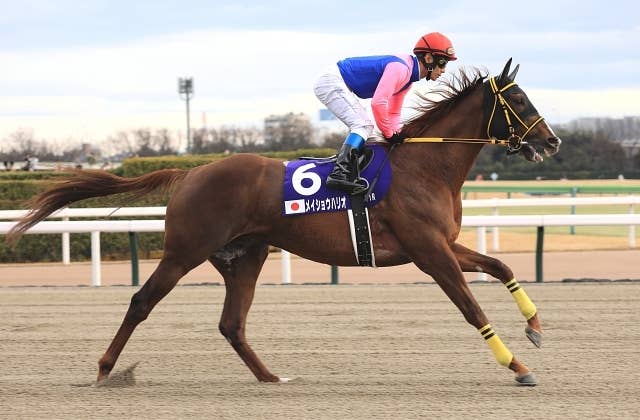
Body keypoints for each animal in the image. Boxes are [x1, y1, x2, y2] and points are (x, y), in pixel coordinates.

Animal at [7, 59, 561, 386]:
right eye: (518, 100)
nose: (552, 141)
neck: (425, 166)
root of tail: (191, 171)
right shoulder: (428, 252)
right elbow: (471, 307)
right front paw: (518, 366)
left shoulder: (442, 245)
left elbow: (500, 266)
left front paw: (535, 327)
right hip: (185, 250)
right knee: (142, 301)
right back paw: (104, 370)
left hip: (245, 255)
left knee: (231, 323)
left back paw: (271, 378)